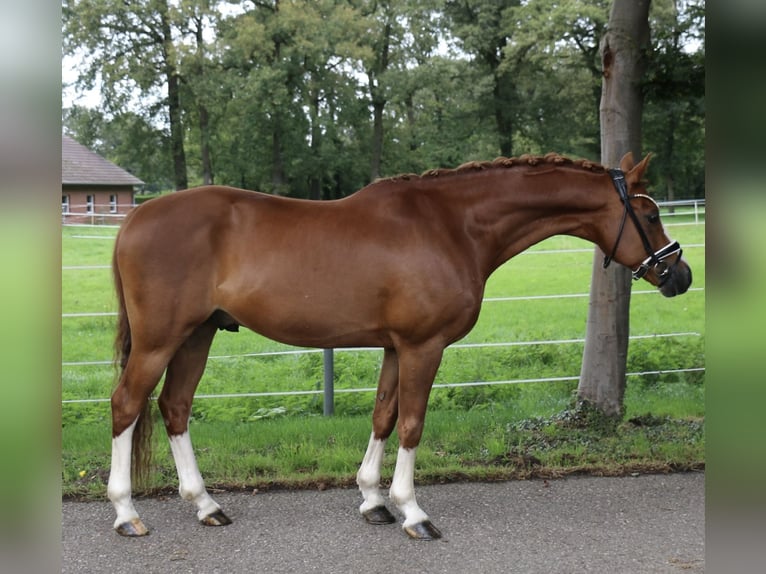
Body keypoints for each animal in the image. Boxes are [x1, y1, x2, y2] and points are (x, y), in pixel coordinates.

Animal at [109, 152, 696, 540]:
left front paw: (373, 500)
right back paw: (126, 513)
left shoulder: (396, 347)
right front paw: (412, 511)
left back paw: (205, 505)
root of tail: (135, 217)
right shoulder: (423, 347)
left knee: (174, 407)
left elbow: (384, 415)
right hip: (162, 339)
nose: (681, 275)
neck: (452, 226)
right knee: (127, 404)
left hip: (198, 334)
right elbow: (412, 423)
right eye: (648, 215)